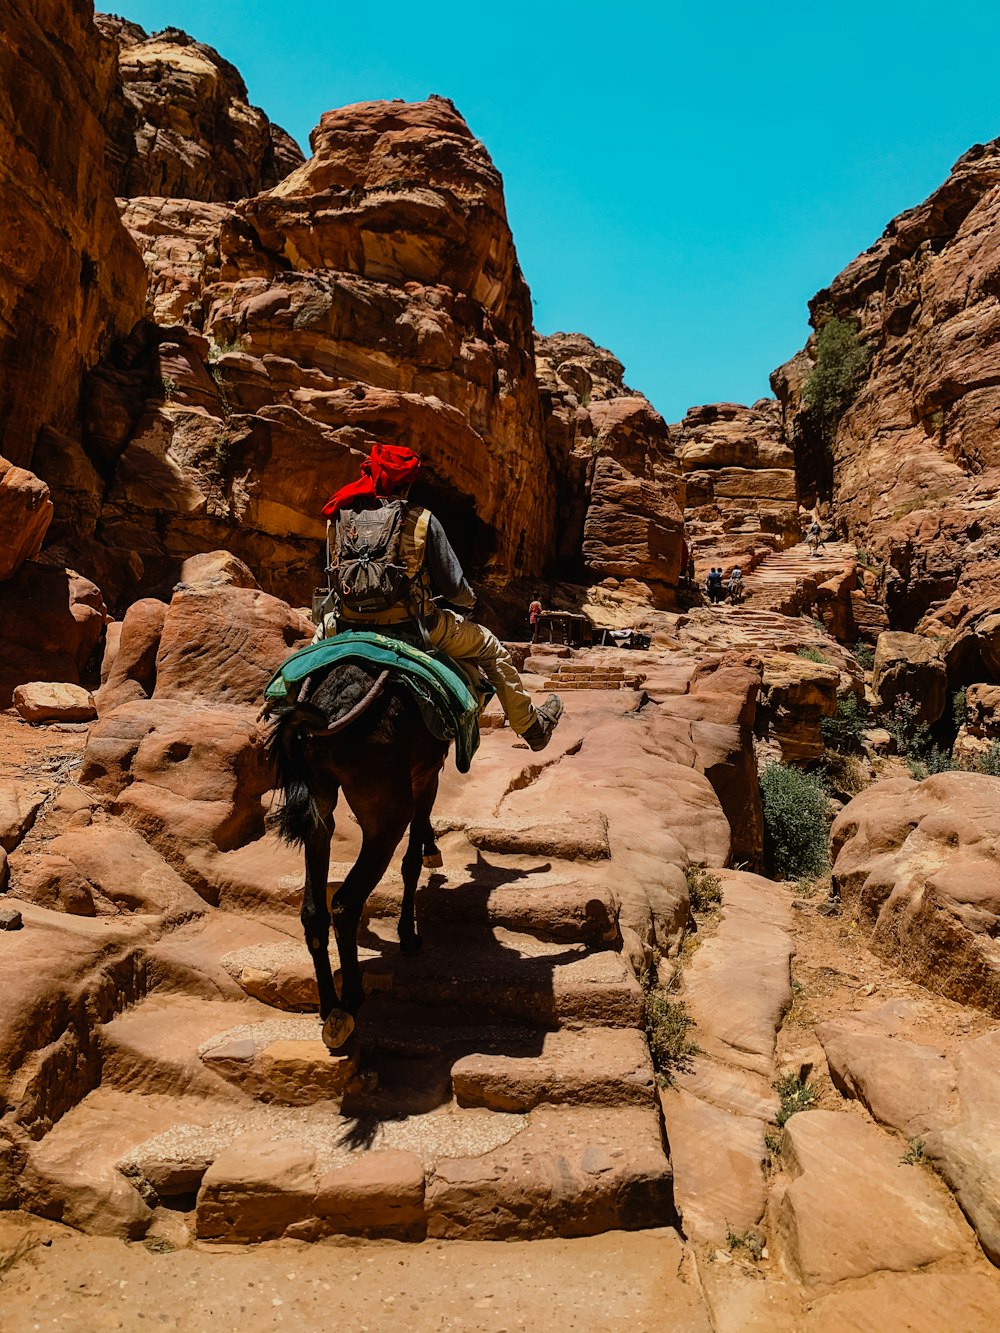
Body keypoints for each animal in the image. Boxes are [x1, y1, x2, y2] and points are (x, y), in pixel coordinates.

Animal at [270, 661, 450, 1045]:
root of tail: (325, 717)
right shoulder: (426, 774)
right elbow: (412, 859)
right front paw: (409, 936)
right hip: (386, 811)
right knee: (345, 902)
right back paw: (350, 1002)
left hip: (319, 806)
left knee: (313, 911)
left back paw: (328, 1005)